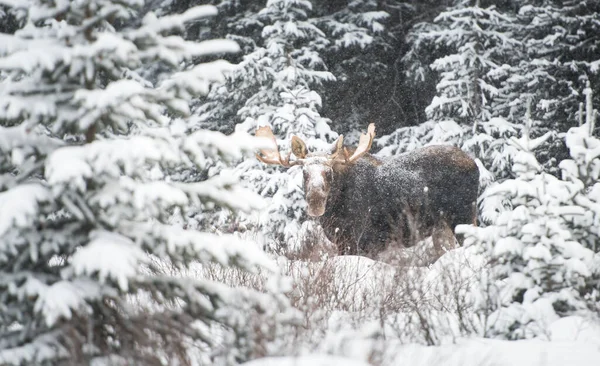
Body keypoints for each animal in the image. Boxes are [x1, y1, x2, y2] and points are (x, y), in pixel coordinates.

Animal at [255, 124, 480, 262]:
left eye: (329, 172)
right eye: (304, 172)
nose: (315, 201)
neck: (333, 213)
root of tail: (475, 164)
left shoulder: (360, 241)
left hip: (463, 216)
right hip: (441, 227)